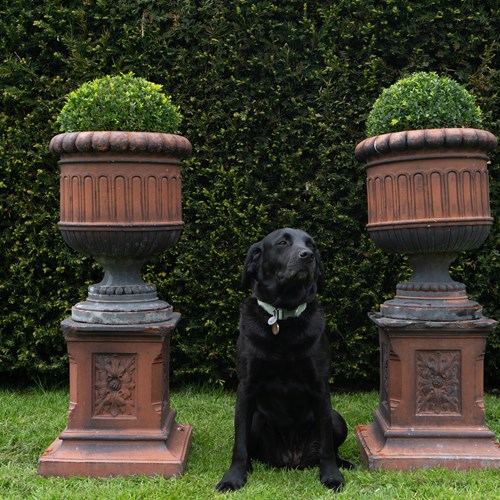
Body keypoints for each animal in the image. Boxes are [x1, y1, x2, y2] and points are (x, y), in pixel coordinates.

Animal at [216, 228, 352, 492]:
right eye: (282, 242)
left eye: (311, 244)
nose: (308, 255)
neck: (282, 318)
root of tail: (292, 459)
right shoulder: (246, 387)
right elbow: (239, 445)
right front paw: (233, 477)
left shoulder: (320, 387)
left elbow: (327, 447)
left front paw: (332, 476)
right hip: (256, 419)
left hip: (337, 419)